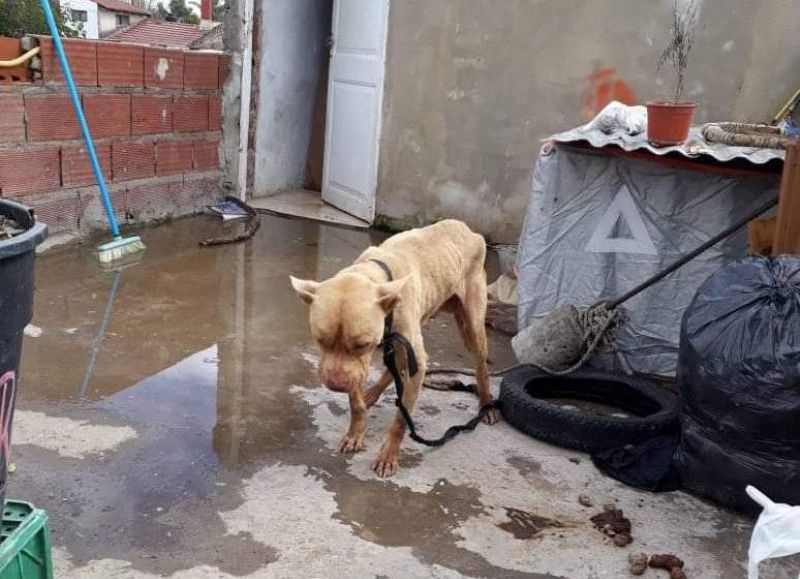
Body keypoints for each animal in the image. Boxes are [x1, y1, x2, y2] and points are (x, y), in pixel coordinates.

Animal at [290, 220, 496, 478]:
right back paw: (372, 393)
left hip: (472, 327)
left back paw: (486, 404)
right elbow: (355, 401)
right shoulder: (357, 367)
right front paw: (355, 432)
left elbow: (401, 420)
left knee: (481, 368)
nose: (336, 385)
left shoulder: (408, 361)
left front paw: (388, 456)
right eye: (320, 340)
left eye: (362, 344)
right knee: (396, 364)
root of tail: (469, 230)